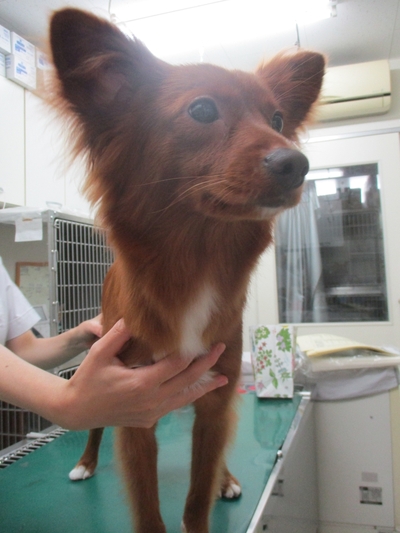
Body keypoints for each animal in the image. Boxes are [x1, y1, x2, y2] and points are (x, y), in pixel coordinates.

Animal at [50, 9, 324, 532]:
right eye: (201, 111)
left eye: (278, 119)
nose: (296, 162)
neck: (197, 255)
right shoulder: (131, 405)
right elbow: (149, 510)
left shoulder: (216, 401)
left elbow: (197, 499)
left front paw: (212, 488)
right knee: (93, 428)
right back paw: (86, 462)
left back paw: (227, 478)